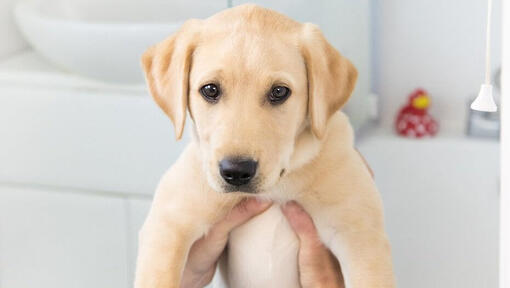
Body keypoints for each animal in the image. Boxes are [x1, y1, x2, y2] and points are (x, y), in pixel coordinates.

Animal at [134, 4, 394, 288]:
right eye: (210, 90)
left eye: (279, 92)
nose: (236, 171)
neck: (277, 188)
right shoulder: (167, 227)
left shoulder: (361, 237)